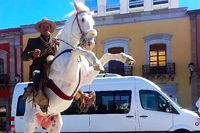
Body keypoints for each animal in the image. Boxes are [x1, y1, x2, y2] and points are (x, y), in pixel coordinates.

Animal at [23, 1, 136, 133]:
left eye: (93, 21)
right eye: (82, 19)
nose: (90, 43)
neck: (66, 52)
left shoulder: (87, 77)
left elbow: (106, 56)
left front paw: (126, 58)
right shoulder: (68, 75)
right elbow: (77, 50)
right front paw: (95, 60)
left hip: (55, 126)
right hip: (29, 124)